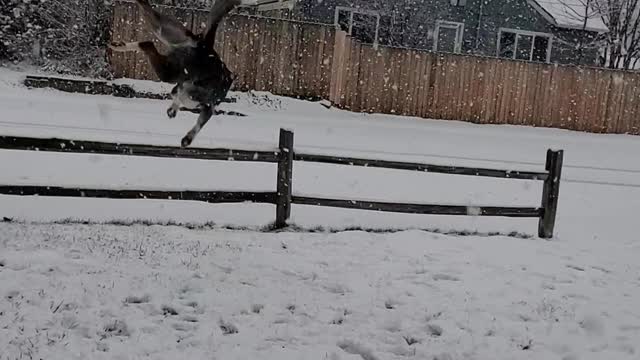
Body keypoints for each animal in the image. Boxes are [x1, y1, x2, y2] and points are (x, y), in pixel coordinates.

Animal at [109, 0, 251, 148]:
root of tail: (204, 45)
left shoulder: (185, 91)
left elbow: (177, 96)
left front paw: (173, 110)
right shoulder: (204, 104)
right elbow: (199, 122)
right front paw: (187, 139)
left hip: (165, 30)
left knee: (150, 22)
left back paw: (119, 45)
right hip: (170, 71)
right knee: (148, 44)